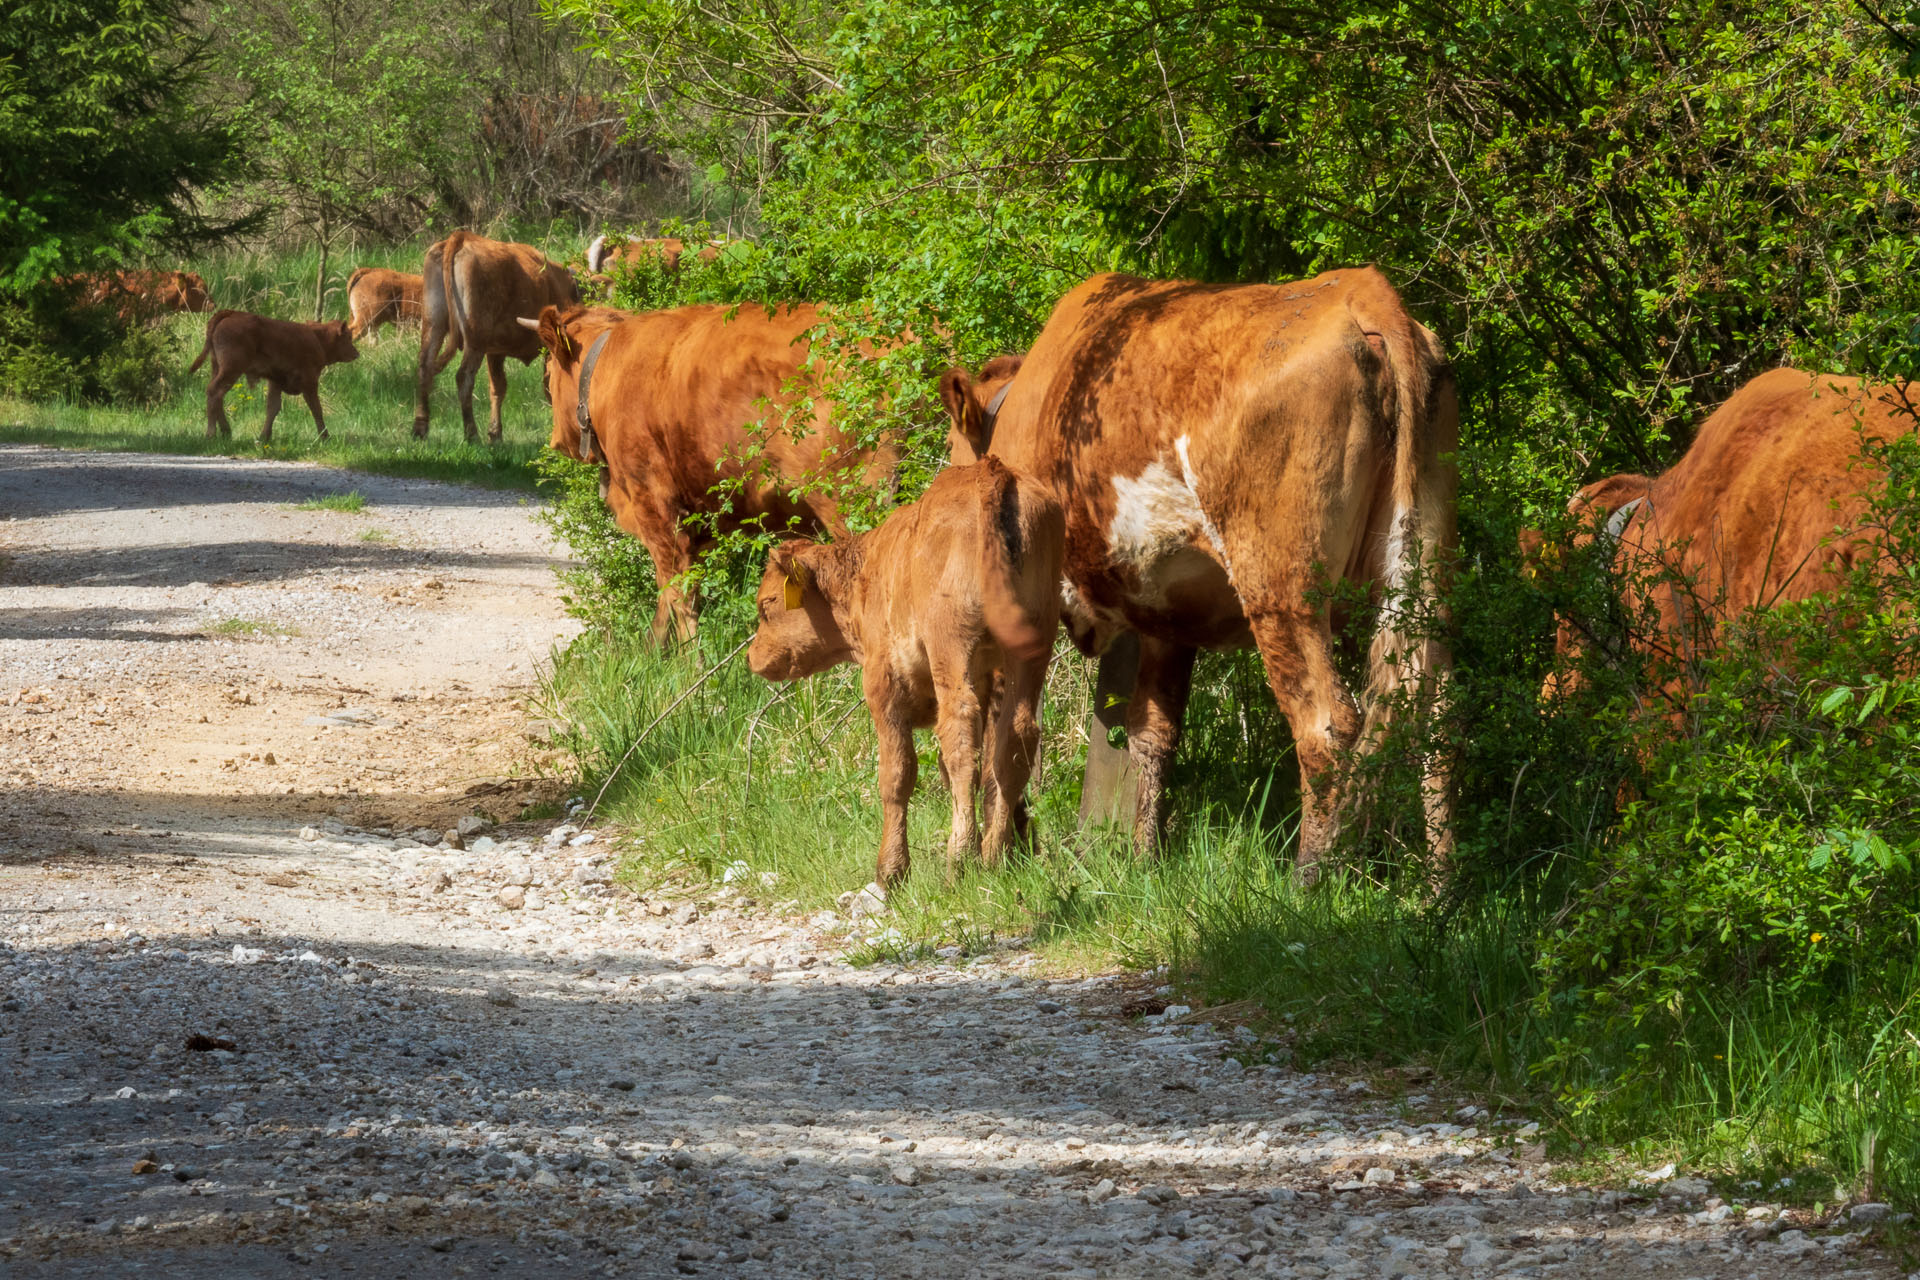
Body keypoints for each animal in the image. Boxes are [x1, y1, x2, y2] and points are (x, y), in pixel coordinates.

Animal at [188, 310, 360, 445]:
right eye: (348, 337)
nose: (356, 353)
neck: (318, 338)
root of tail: (232, 313)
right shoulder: (310, 382)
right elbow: (316, 409)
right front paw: (325, 437)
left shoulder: (276, 382)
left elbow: (272, 408)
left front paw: (264, 437)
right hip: (231, 370)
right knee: (214, 392)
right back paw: (212, 434)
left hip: (217, 368)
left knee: (217, 396)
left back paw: (226, 432)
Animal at [412, 233, 576, 443]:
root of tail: (461, 237)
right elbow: (549, 385)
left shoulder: (495, 352)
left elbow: (498, 388)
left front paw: (495, 434)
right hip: (475, 339)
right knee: (464, 377)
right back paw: (472, 434)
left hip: (434, 325)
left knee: (425, 368)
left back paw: (420, 428)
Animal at [526, 299, 906, 640]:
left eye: (547, 374)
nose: (556, 438)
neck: (609, 371)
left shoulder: (653, 503)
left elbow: (675, 587)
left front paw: (687, 663)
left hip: (849, 500)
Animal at [940, 268, 1451, 871]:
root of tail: (1361, 289)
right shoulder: (1169, 613)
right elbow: (1151, 731)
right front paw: (1144, 860)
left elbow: (1007, 730)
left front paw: (994, 857)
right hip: (1427, 569)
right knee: (1439, 720)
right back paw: (1442, 884)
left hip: (1281, 585)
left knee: (1327, 727)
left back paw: (1309, 877)